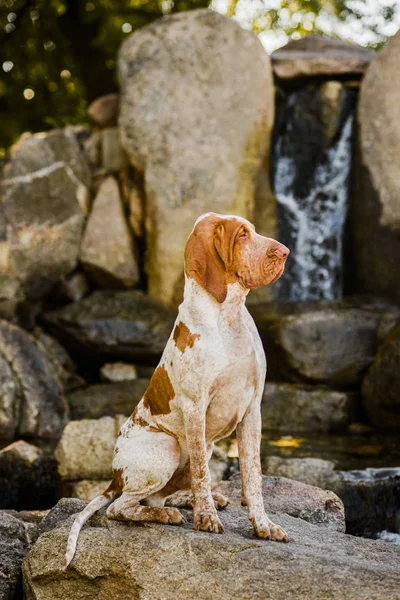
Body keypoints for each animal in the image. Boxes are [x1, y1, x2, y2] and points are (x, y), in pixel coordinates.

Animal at [65, 212, 290, 568]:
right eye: (241, 235)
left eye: (252, 231)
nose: (285, 252)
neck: (228, 317)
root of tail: (115, 477)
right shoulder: (196, 407)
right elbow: (202, 473)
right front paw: (206, 518)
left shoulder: (253, 409)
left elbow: (253, 476)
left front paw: (263, 525)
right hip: (166, 448)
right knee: (121, 507)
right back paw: (169, 513)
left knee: (159, 495)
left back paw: (188, 501)